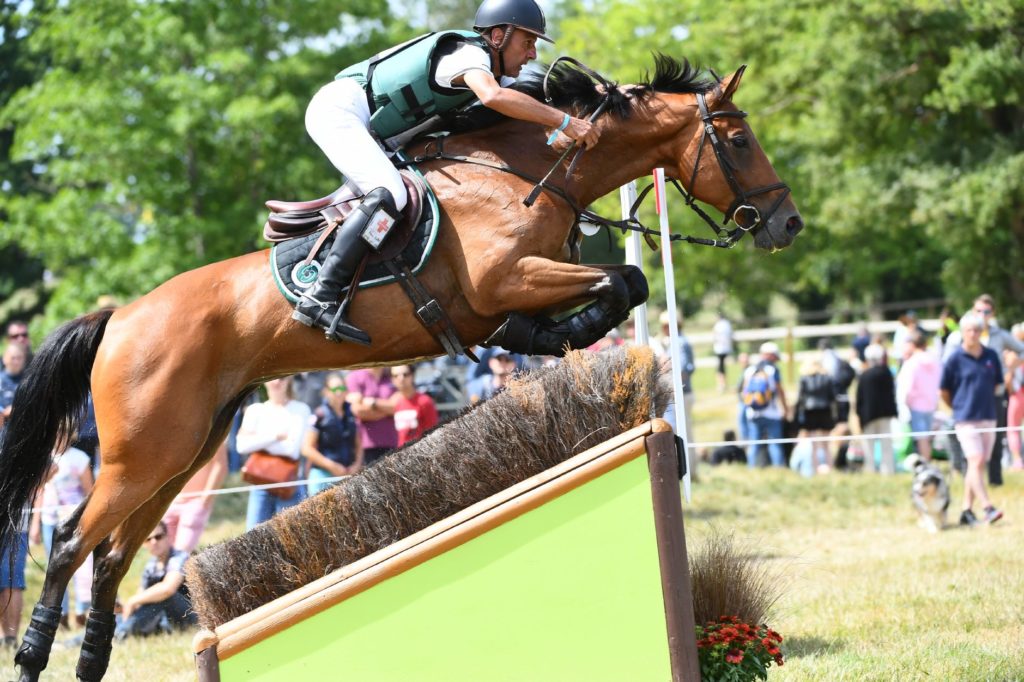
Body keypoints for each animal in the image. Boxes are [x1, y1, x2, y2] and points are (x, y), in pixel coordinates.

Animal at [0, 55, 798, 675]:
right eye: (737, 138)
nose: (787, 223)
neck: (530, 171)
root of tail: (121, 317)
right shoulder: (508, 279)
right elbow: (620, 283)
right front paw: (549, 337)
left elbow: (621, 286)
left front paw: (551, 342)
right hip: (142, 454)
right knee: (70, 541)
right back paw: (34, 656)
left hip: (183, 453)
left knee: (111, 558)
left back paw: (91, 663)